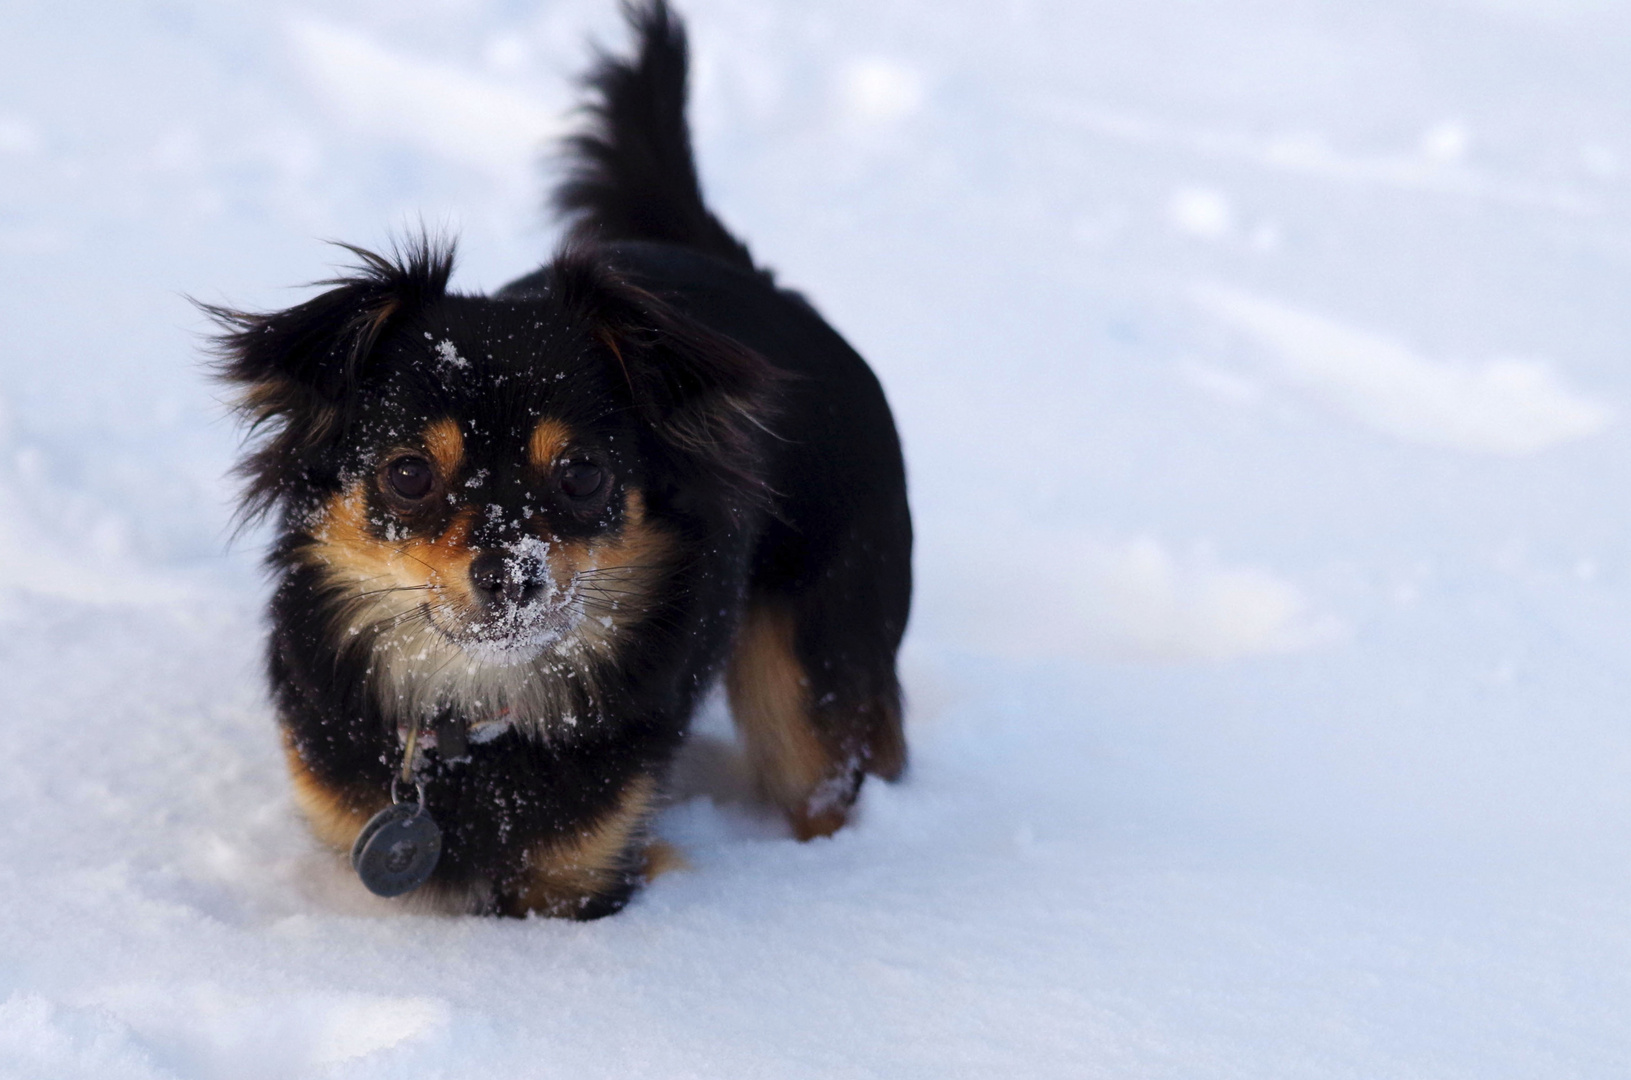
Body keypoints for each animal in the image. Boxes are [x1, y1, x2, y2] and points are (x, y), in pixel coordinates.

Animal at [207, 0, 906, 920]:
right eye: (408, 474)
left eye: (581, 475)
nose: (512, 574)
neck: (472, 713)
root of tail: (752, 276)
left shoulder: (586, 882)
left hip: (808, 683)